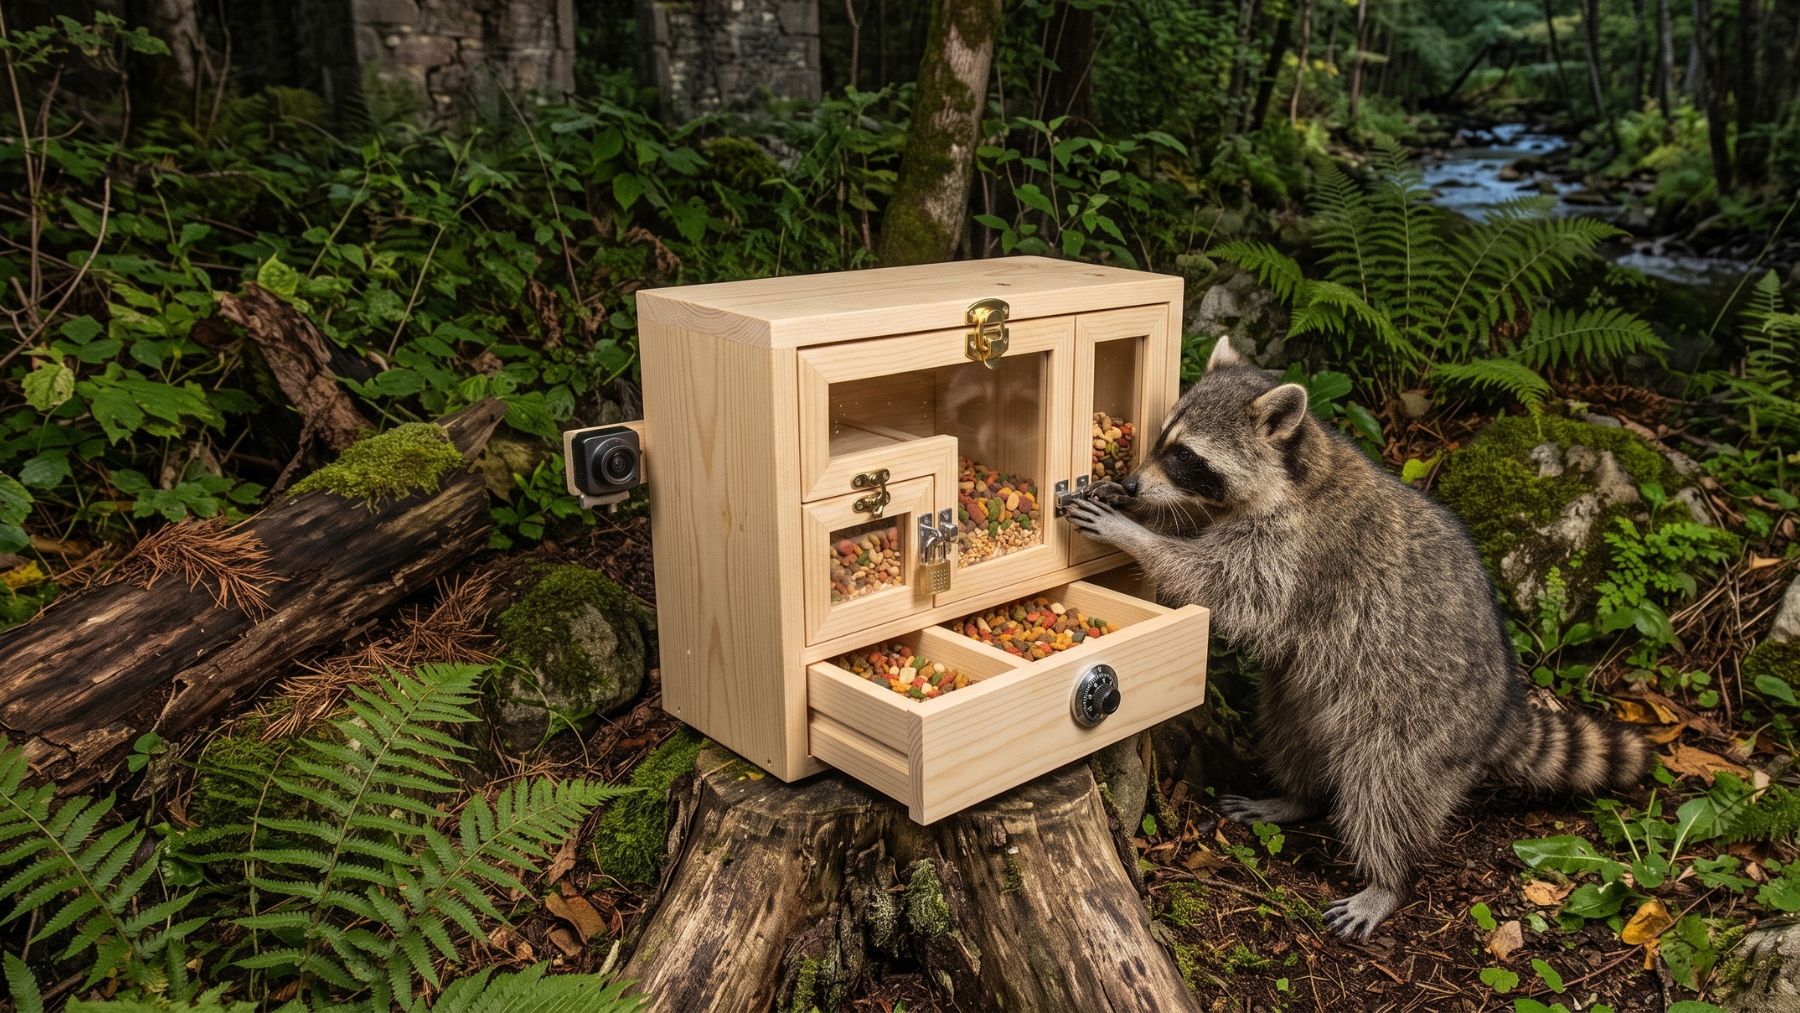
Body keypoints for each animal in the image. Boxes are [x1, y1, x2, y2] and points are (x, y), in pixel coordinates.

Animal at [1062, 339, 1648, 941]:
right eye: (1162, 441)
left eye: (1185, 457)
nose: (1135, 484)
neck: (1297, 471)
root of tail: (1499, 709)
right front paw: (1135, 505)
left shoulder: (1297, 551)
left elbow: (1231, 591)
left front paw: (1136, 535)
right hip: (1308, 695)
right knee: (1290, 728)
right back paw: (1296, 796)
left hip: (1417, 723)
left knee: (1385, 789)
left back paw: (1389, 878)